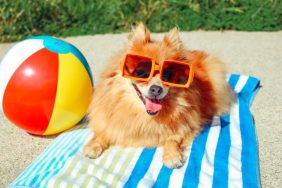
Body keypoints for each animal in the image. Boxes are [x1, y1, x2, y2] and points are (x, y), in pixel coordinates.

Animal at [82, 22, 231, 168]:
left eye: (167, 75)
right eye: (141, 73)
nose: (156, 89)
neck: (145, 117)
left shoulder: (188, 126)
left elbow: (173, 138)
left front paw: (172, 156)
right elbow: (104, 130)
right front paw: (93, 145)